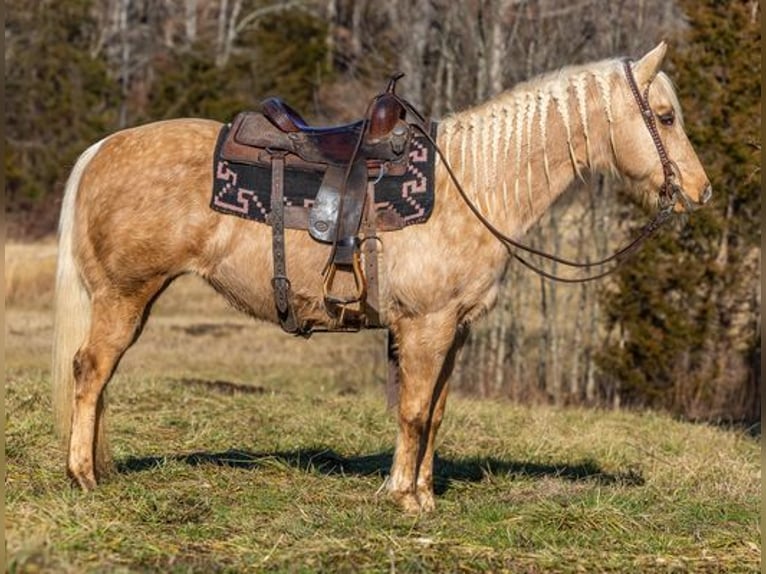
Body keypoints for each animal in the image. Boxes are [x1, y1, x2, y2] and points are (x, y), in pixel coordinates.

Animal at [54, 44, 712, 512]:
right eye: (664, 116)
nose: (700, 191)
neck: (475, 185)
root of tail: (101, 148)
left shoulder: (456, 328)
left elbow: (437, 412)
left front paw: (424, 493)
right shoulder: (425, 325)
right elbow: (415, 411)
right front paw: (402, 496)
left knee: (101, 378)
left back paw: (99, 466)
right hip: (124, 295)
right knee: (91, 371)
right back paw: (82, 475)